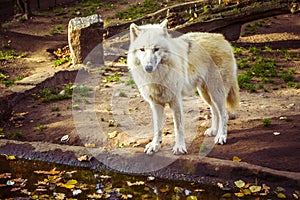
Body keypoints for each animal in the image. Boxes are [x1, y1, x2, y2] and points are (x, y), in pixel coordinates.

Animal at [126, 19, 239, 155]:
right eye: (142, 49)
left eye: (156, 49)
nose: (148, 68)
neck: (157, 77)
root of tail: (222, 38)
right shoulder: (155, 103)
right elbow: (157, 127)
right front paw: (155, 145)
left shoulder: (176, 101)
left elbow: (178, 127)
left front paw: (179, 147)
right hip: (205, 94)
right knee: (214, 110)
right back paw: (213, 131)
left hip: (216, 92)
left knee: (224, 114)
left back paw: (221, 136)